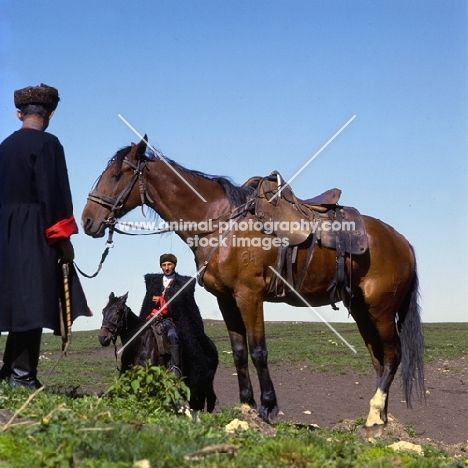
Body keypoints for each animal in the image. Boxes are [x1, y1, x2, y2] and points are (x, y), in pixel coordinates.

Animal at [82, 137, 426, 436]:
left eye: (116, 174)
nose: (87, 220)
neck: (220, 223)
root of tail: (404, 243)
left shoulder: (250, 296)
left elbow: (258, 350)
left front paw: (267, 408)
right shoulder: (226, 299)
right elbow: (238, 352)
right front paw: (246, 405)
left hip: (381, 310)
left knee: (393, 355)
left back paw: (374, 415)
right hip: (363, 311)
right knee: (379, 359)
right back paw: (380, 420)